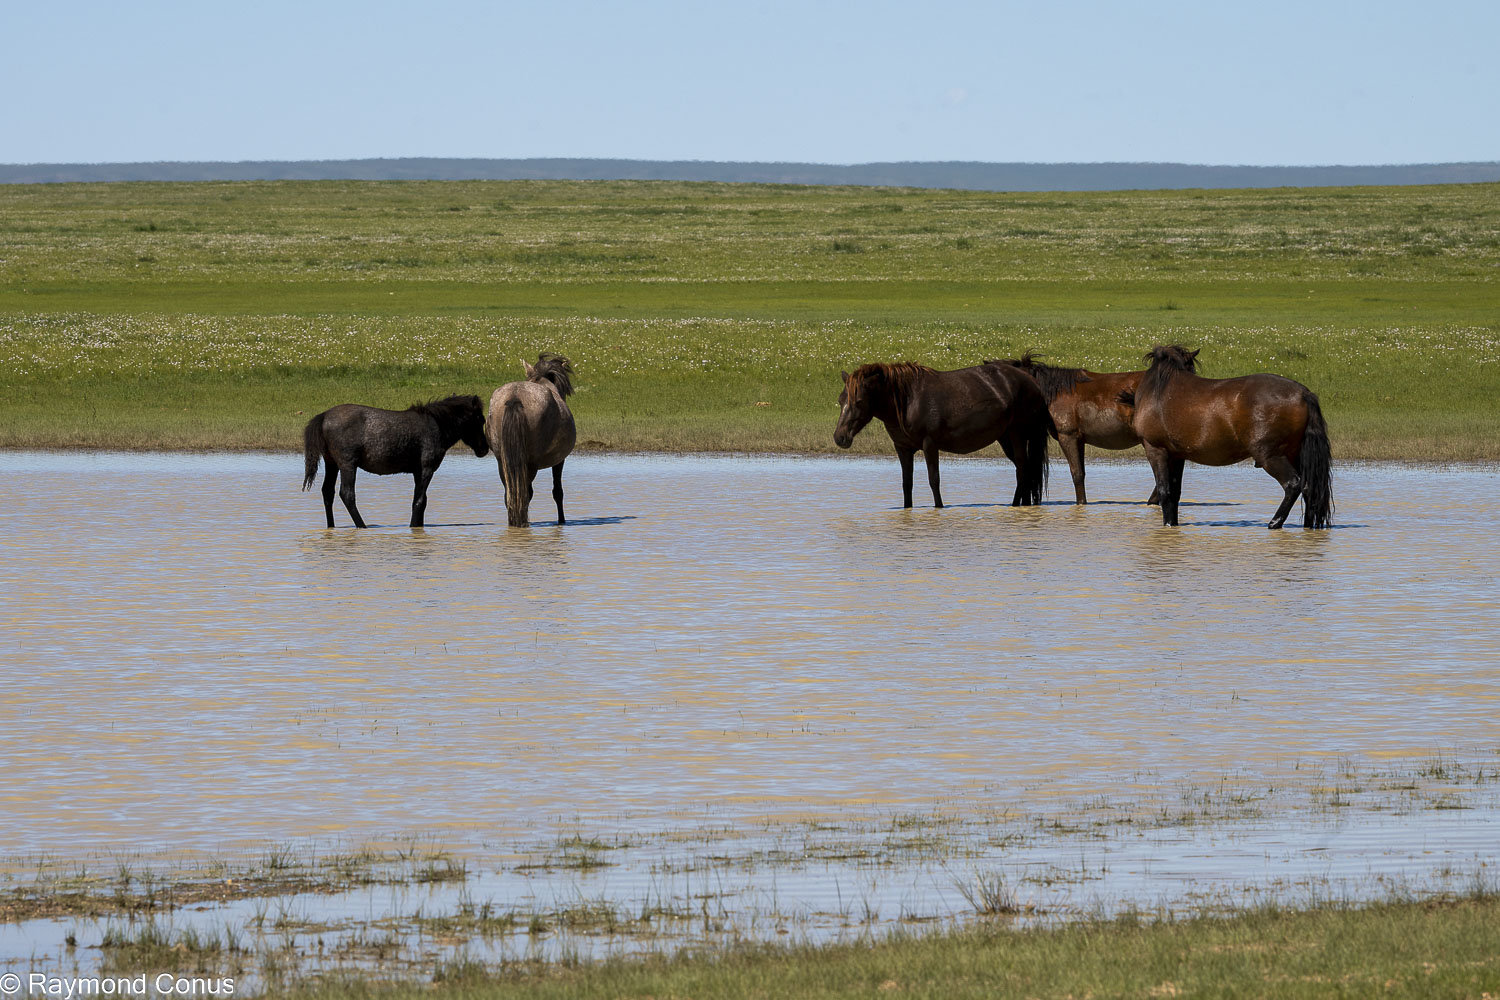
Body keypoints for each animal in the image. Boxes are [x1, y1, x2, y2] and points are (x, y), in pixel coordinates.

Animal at [302, 395, 489, 528]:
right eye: (480, 419)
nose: (484, 448)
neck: (437, 426)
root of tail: (324, 416)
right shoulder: (427, 468)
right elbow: (419, 501)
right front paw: (413, 526)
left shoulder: (417, 472)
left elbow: (422, 501)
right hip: (347, 464)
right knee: (347, 494)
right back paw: (362, 526)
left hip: (331, 464)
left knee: (328, 492)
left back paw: (331, 526)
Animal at [486, 353, 577, 527]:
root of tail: (515, 396)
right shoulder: (559, 460)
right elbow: (558, 492)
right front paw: (561, 521)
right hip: (530, 464)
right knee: (525, 494)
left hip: (503, 462)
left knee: (510, 494)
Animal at [833, 361, 1051, 508]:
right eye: (840, 399)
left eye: (859, 401)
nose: (839, 437)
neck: (908, 401)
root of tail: (1030, 379)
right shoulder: (902, 449)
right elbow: (906, 483)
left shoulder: (930, 445)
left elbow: (934, 480)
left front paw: (939, 508)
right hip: (1005, 438)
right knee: (1025, 471)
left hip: (1017, 435)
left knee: (1022, 469)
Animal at [987, 353, 1158, 505]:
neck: (1056, 392)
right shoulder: (1079, 441)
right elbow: (1081, 472)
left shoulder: (1068, 437)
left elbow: (1077, 474)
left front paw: (1081, 503)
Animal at [1127, 345, 1333, 529]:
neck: (1158, 390)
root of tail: (1303, 393)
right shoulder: (1177, 456)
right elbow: (1175, 492)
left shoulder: (1156, 449)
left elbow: (1165, 491)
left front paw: (1168, 525)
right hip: (1295, 454)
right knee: (1309, 487)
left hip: (1271, 456)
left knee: (1293, 484)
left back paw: (1274, 523)